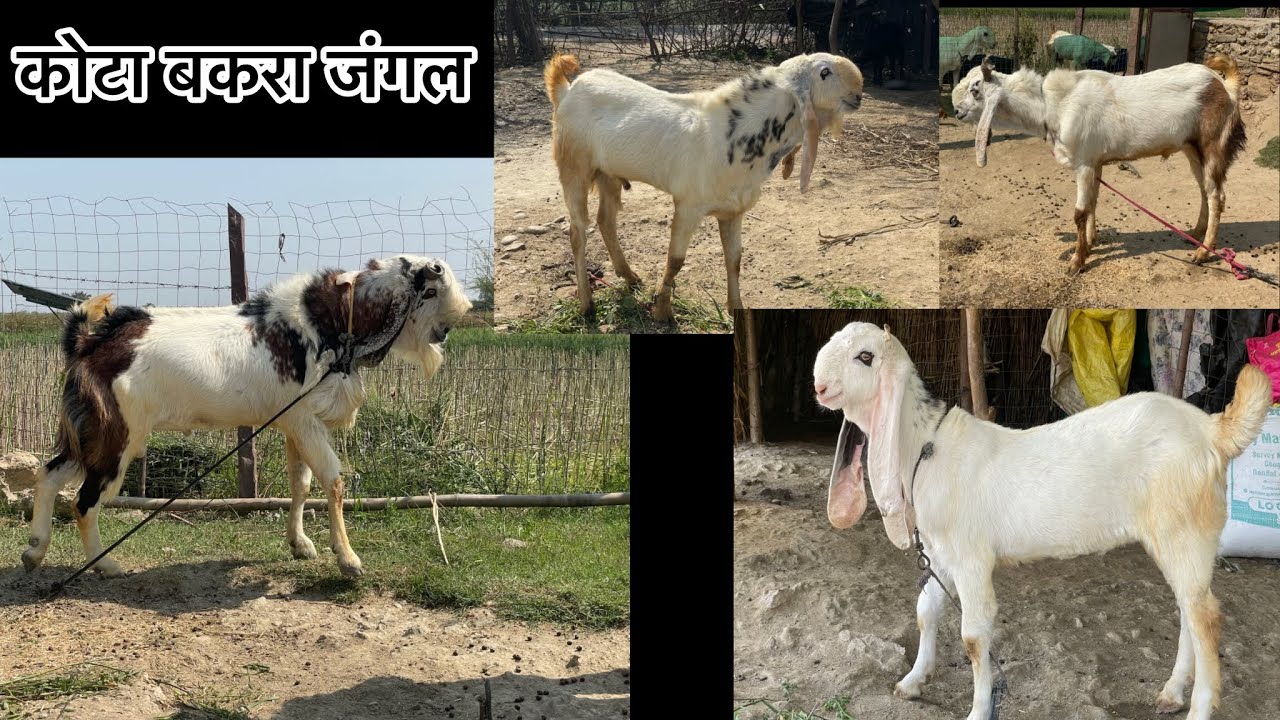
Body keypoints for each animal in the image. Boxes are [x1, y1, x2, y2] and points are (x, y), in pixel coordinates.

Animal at [19, 255, 472, 578]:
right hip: (119, 436)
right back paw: (106, 565)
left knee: (50, 473)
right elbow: (333, 480)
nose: (450, 325)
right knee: (84, 501)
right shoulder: (304, 419)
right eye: (429, 287)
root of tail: (87, 342)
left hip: (92, 433)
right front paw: (348, 559)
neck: (323, 323)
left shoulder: (294, 423)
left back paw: (34, 550)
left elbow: (301, 483)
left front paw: (300, 545)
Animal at [544, 52, 863, 323]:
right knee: (577, 232)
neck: (737, 136)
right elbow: (675, 260)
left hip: (608, 175)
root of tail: (567, 90)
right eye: (824, 72)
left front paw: (735, 308)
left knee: (605, 221)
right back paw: (587, 305)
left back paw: (630, 276)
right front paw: (662, 312)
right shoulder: (688, 205)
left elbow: (734, 260)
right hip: (574, 169)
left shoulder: (734, 211)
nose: (859, 93)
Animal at [813, 322, 1273, 720]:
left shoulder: (971, 558)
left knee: (1205, 618)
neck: (927, 448)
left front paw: (978, 710)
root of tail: (1211, 430)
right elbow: (926, 610)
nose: (818, 386)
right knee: (1188, 610)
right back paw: (1173, 692)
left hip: (1184, 530)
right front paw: (912, 681)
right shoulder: (942, 553)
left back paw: (1198, 707)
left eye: (865, 356)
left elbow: (974, 638)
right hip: (1181, 537)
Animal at [951, 55, 1246, 274]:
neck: (1051, 104)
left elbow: (1080, 212)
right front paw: (1091, 243)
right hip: (1192, 149)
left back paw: (1203, 252)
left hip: (1212, 145)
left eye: (975, 89)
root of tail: (1225, 87)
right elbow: (1093, 202)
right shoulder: (1095, 163)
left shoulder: (1083, 162)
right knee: (1204, 191)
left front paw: (1076, 262)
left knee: (1216, 195)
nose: (956, 111)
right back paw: (1195, 232)